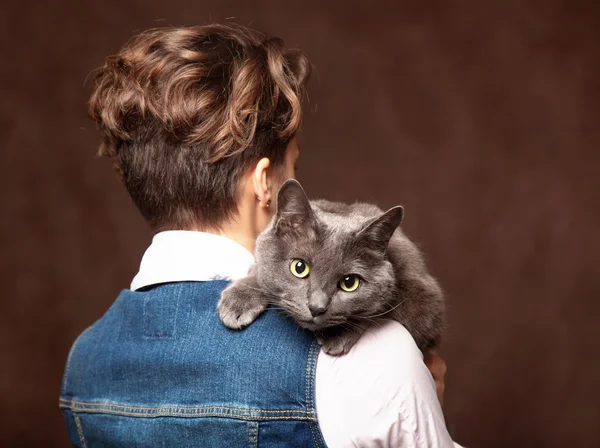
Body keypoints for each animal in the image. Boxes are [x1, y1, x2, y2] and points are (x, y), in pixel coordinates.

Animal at [218, 180, 442, 356]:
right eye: (299, 267)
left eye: (350, 283)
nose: (316, 308)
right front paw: (239, 300)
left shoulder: (425, 303)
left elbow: (379, 311)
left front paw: (337, 334)